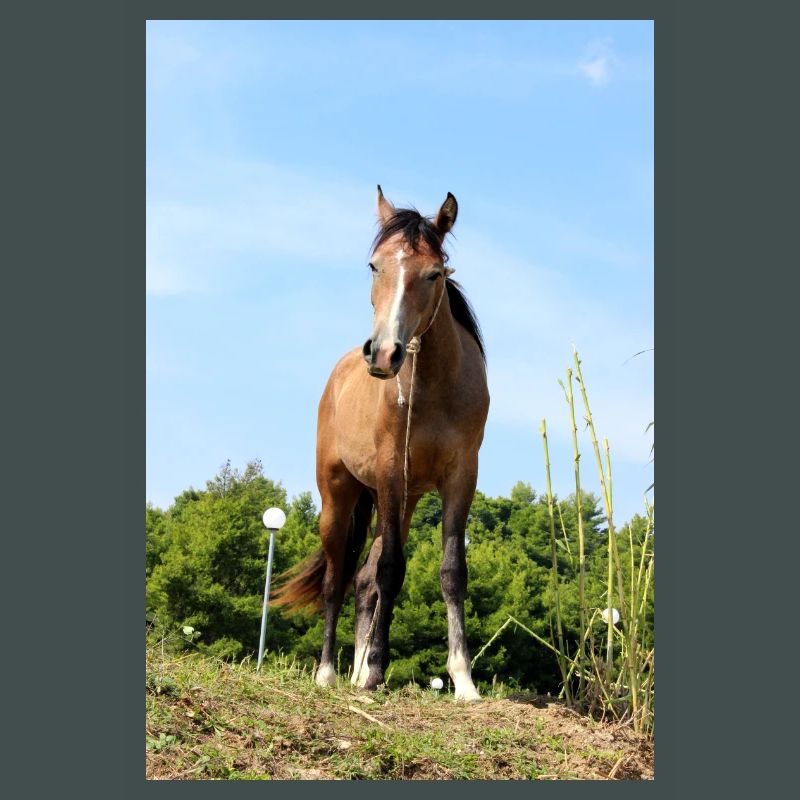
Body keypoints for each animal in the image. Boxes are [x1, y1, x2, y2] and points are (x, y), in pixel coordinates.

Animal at [272, 187, 489, 702]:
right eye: (374, 266)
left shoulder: (461, 477)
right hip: (339, 497)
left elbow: (451, 572)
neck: (433, 386)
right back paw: (330, 673)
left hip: (402, 502)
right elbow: (391, 571)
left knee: (363, 581)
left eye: (434, 273)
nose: (384, 353)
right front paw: (374, 673)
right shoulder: (392, 472)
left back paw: (353, 670)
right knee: (337, 581)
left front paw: (463, 679)